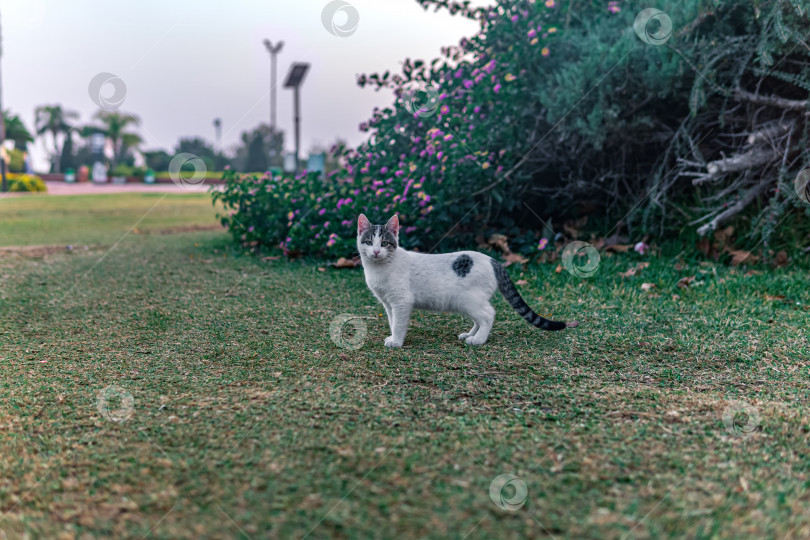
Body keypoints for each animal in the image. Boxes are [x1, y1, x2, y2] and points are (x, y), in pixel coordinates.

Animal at [356, 213, 576, 348]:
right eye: (368, 242)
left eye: (385, 243)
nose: (376, 251)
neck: (380, 268)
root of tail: (492, 260)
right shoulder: (388, 304)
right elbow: (392, 321)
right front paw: (392, 336)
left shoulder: (402, 301)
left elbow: (399, 324)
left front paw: (396, 341)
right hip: (466, 302)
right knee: (480, 318)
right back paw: (470, 335)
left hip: (468, 300)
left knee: (488, 315)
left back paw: (478, 340)